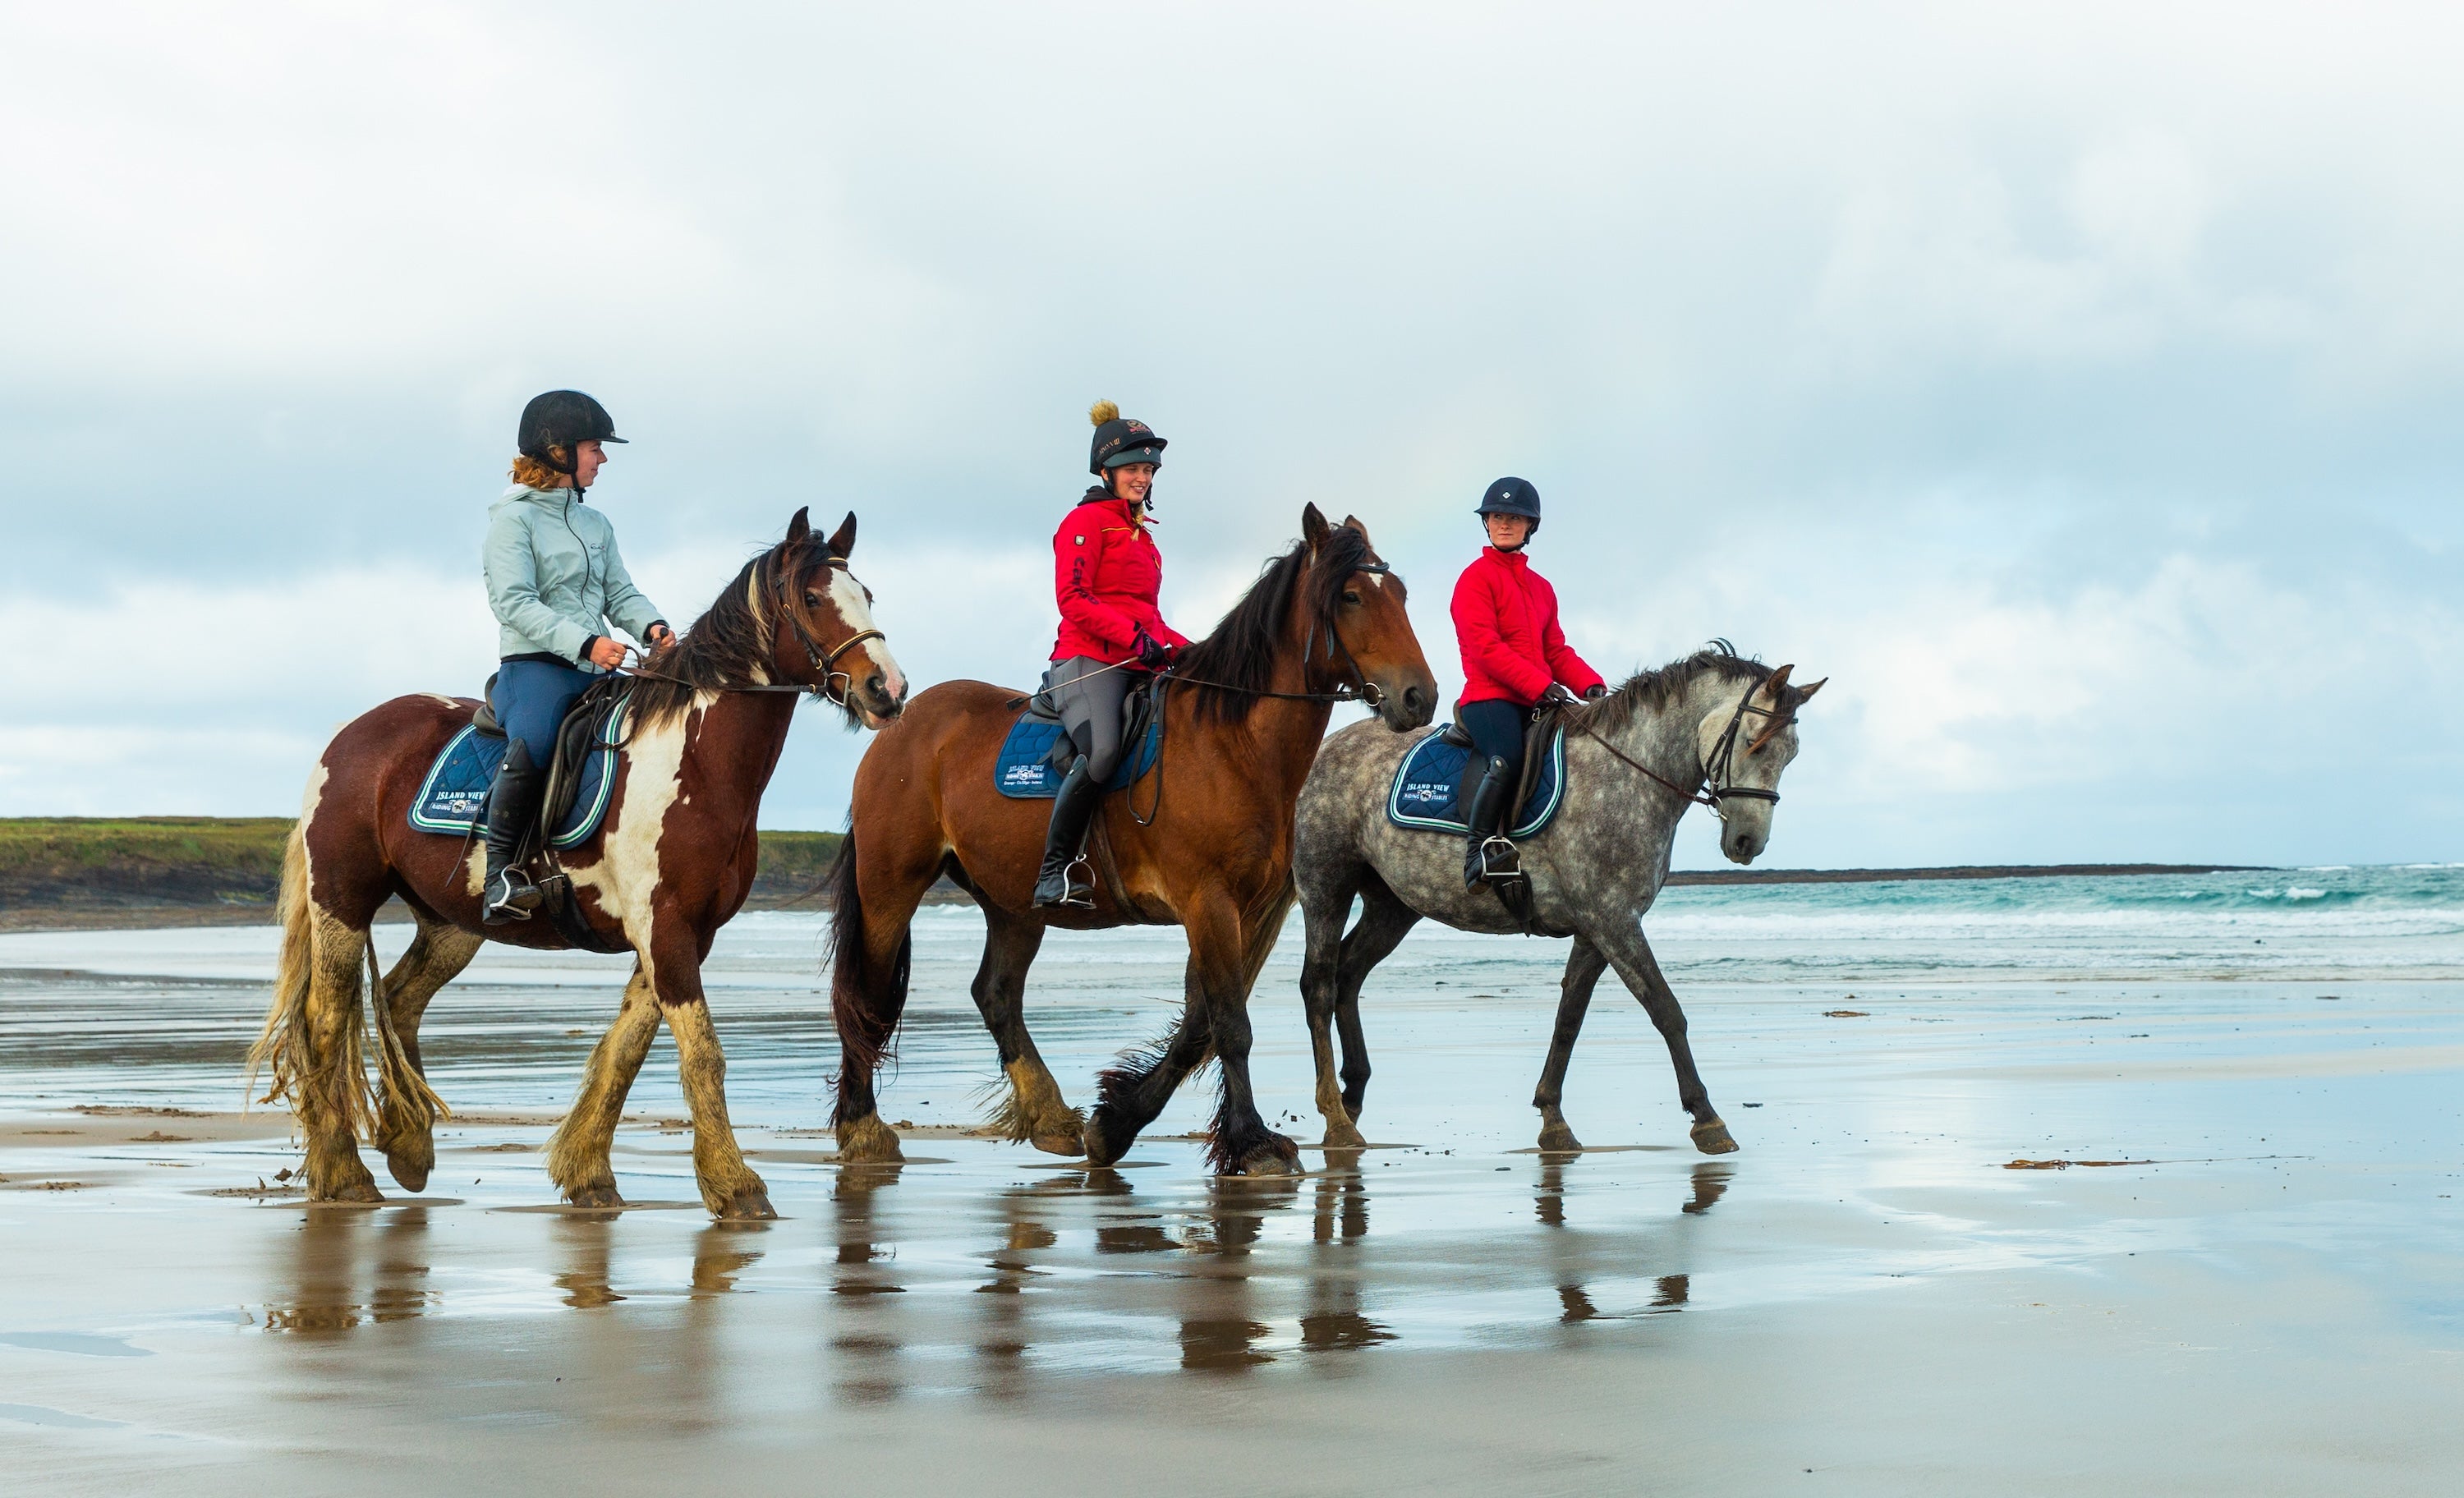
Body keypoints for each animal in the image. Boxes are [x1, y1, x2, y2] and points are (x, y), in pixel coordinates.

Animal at [249, 507, 906, 1219]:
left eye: (868, 595)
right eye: (812, 599)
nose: (888, 690)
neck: (695, 762)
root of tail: (348, 738)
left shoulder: (682, 934)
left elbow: (626, 1050)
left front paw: (588, 1170)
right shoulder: (664, 929)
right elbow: (702, 1054)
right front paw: (737, 1186)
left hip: (452, 923)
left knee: (399, 1001)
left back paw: (409, 1145)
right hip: (342, 904)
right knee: (325, 1021)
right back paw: (345, 1173)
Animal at [825, 505, 1436, 1175]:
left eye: (1401, 593)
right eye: (1352, 596)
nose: (1420, 696)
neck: (1232, 744)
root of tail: (899, 725)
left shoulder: (1248, 911)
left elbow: (1201, 1025)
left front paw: (1119, 1121)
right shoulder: (1208, 903)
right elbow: (1231, 1025)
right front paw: (1252, 1142)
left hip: (1012, 902)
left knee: (996, 994)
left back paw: (1050, 1116)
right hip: (890, 889)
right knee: (867, 996)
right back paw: (863, 1129)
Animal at [1291, 647, 1823, 1155]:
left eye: (1791, 754)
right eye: (1754, 740)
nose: (1748, 842)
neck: (1626, 773)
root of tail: (1328, 748)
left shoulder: (1596, 928)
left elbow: (1570, 1018)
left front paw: (1553, 1119)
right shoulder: (1614, 920)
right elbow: (1666, 1010)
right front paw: (1708, 1119)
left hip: (1393, 906)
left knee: (1348, 974)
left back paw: (1354, 1095)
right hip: (1326, 886)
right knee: (1318, 985)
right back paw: (1336, 1118)